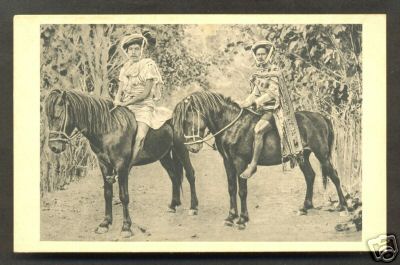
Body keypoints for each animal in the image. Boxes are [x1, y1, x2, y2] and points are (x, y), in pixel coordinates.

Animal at [45, 88, 198, 237]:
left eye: (58, 116)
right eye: (48, 117)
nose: (54, 147)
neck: (108, 129)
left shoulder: (122, 167)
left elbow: (124, 196)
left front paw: (126, 227)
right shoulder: (104, 165)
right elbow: (107, 194)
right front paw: (105, 223)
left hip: (182, 149)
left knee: (190, 175)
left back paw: (194, 208)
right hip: (164, 155)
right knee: (174, 176)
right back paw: (173, 205)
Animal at [173, 90, 348, 229]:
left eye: (188, 120)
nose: (192, 148)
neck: (232, 125)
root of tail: (322, 118)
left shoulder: (240, 162)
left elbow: (242, 191)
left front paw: (242, 219)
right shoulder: (228, 162)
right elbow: (231, 189)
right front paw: (230, 217)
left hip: (322, 155)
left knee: (334, 176)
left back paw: (343, 207)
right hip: (302, 156)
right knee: (310, 176)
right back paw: (305, 207)